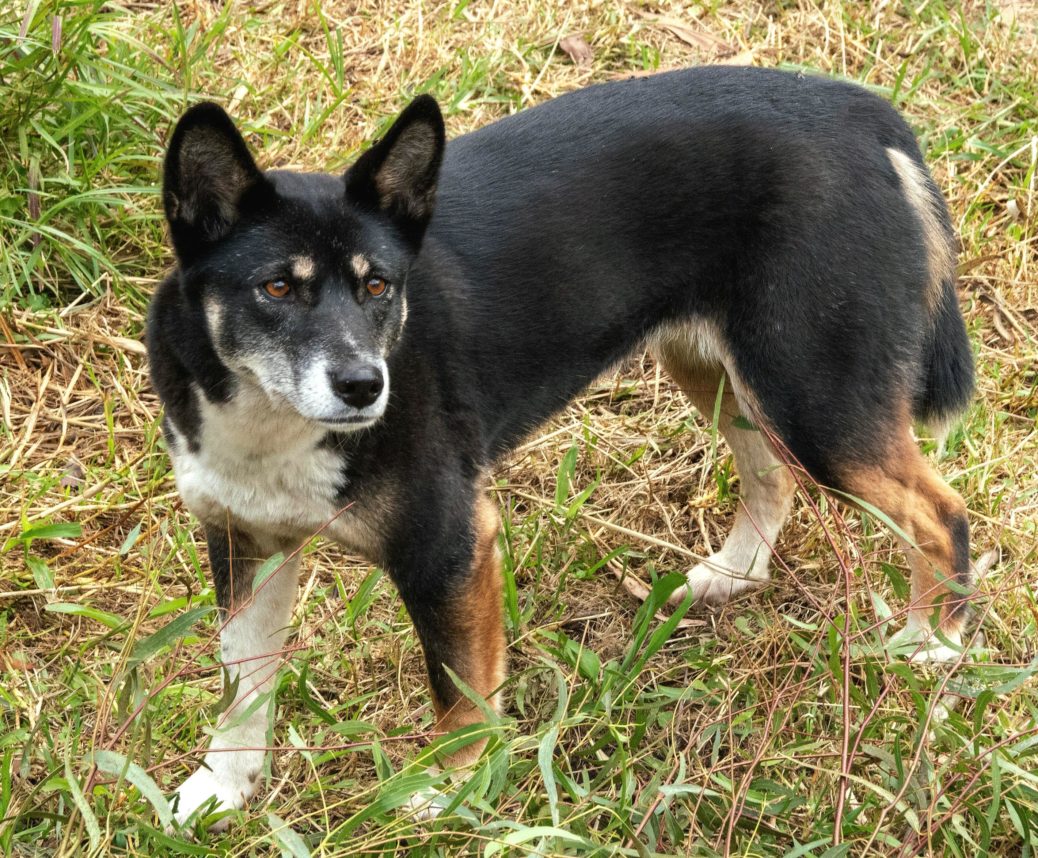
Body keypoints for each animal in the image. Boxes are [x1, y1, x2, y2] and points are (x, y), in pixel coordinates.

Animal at [146, 63, 971, 829]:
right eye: (277, 289)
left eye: (378, 286)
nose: (363, 387)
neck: (270, 421)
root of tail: (860, 110)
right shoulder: (245, 542)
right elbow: (242, 687)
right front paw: (221, 789)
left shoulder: (450, 550)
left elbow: (460, 697)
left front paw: (451, 790)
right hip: (726, 372)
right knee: (773, 476)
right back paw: (735, 573)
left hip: (813, 400)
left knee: (941, 512)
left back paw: (932, 651)